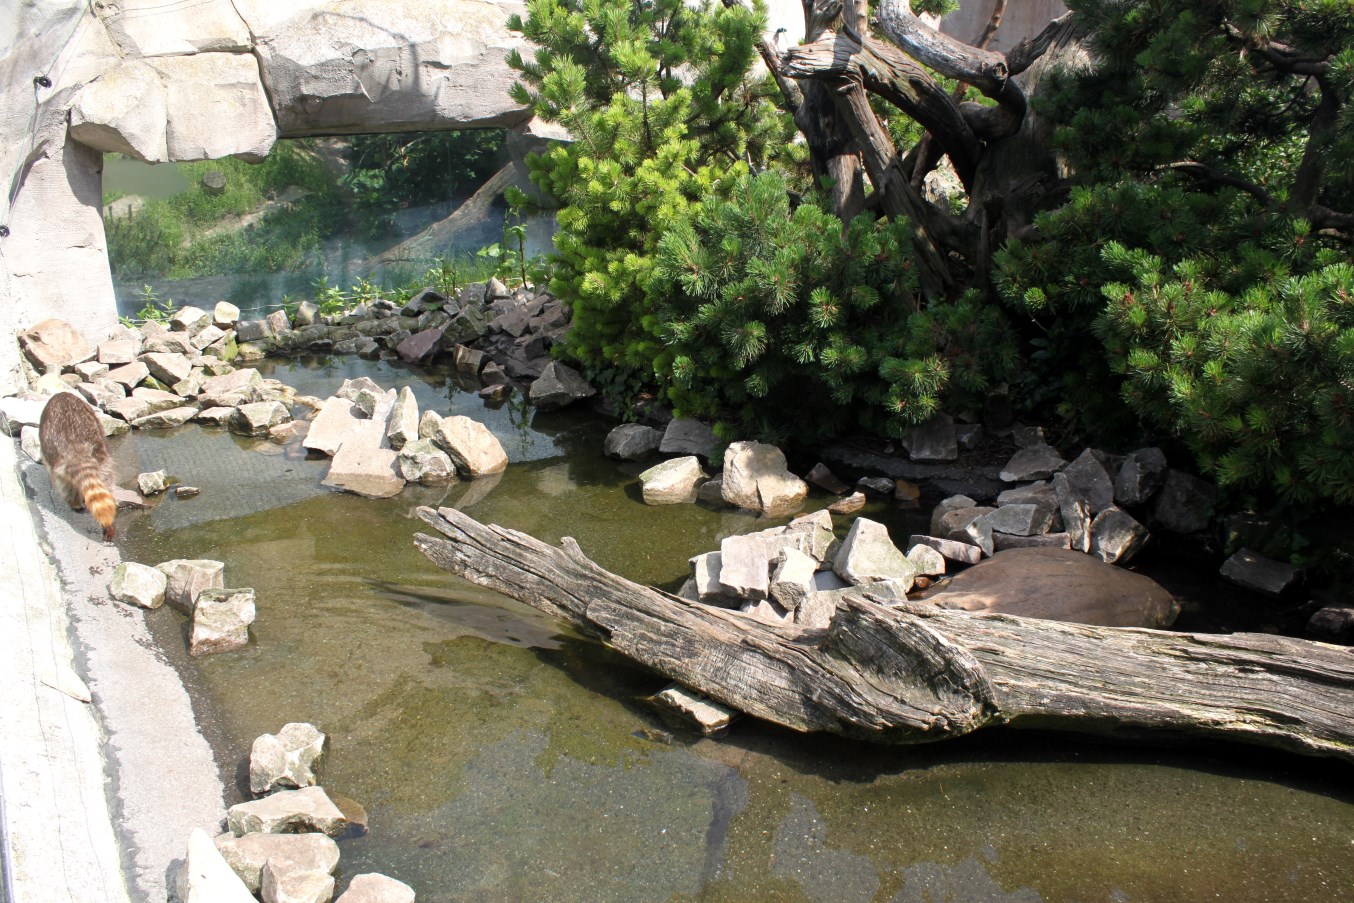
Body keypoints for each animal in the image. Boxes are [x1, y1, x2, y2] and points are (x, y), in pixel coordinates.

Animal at [39, 392, 117, 541]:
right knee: (106, 480)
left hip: (54, 453)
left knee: (64, 485)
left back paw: (74, 503)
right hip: (101, 451)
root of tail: (75, 447)